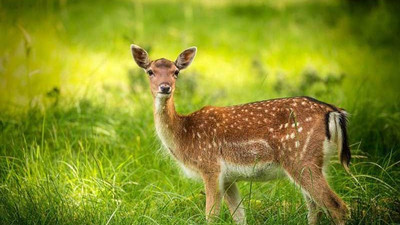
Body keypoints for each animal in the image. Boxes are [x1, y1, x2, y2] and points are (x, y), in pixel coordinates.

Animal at [130, 44, 350, 225]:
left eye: (176, 72)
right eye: (150, 71)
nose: (165, 87)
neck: (183, 134)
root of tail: (334, 111)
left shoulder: (210, 167)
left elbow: (211, 216)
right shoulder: (228, 178)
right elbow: (239, 216)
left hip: (300, 158)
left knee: (337, 206)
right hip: (315, 162)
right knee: (315, 209)